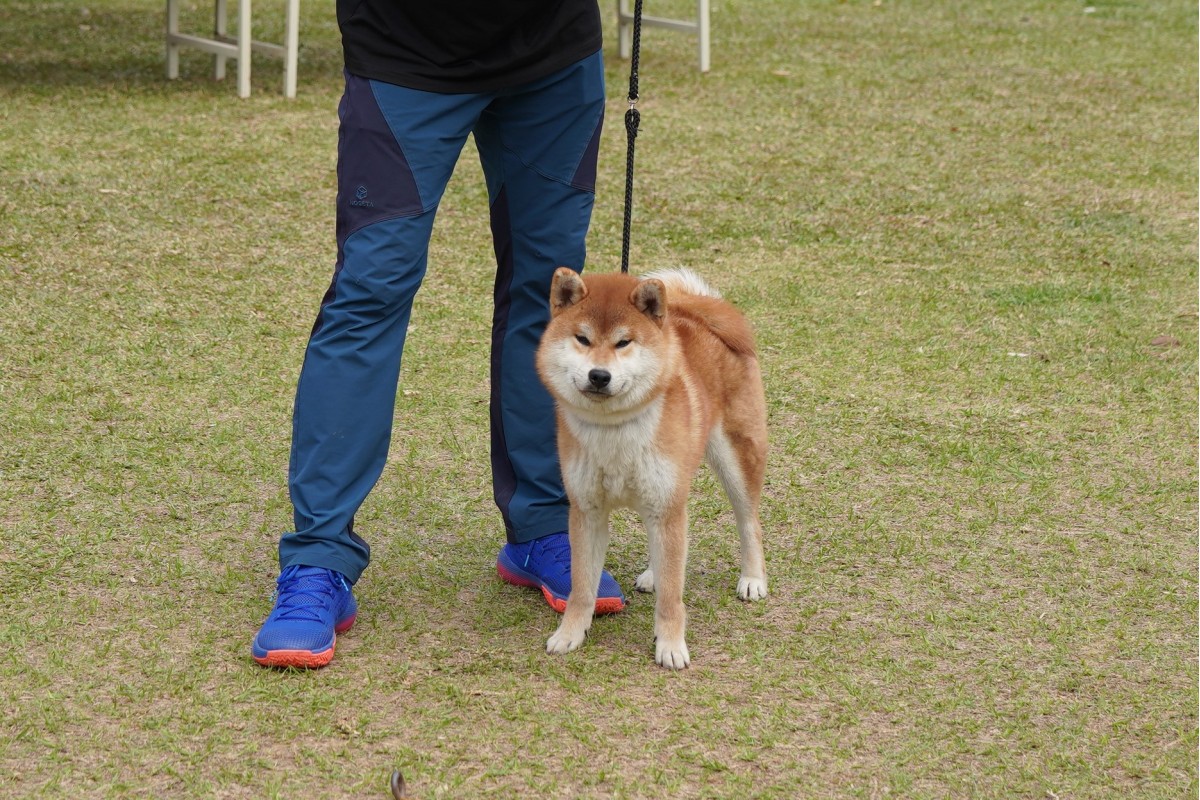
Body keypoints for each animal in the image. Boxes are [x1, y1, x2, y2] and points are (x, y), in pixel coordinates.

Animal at [537, 268, 768, 671]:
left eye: (623, 343)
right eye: (582, 339)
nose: (599, 376)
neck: (614, 429)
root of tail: (700, 311)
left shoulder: (667, 506)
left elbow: (673, 599)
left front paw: (671, 646)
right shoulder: (587, 511)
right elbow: (582, 587)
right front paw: (570, 634)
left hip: (735, 461)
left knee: (748, 523)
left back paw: (752, 578)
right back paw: (653, 574)